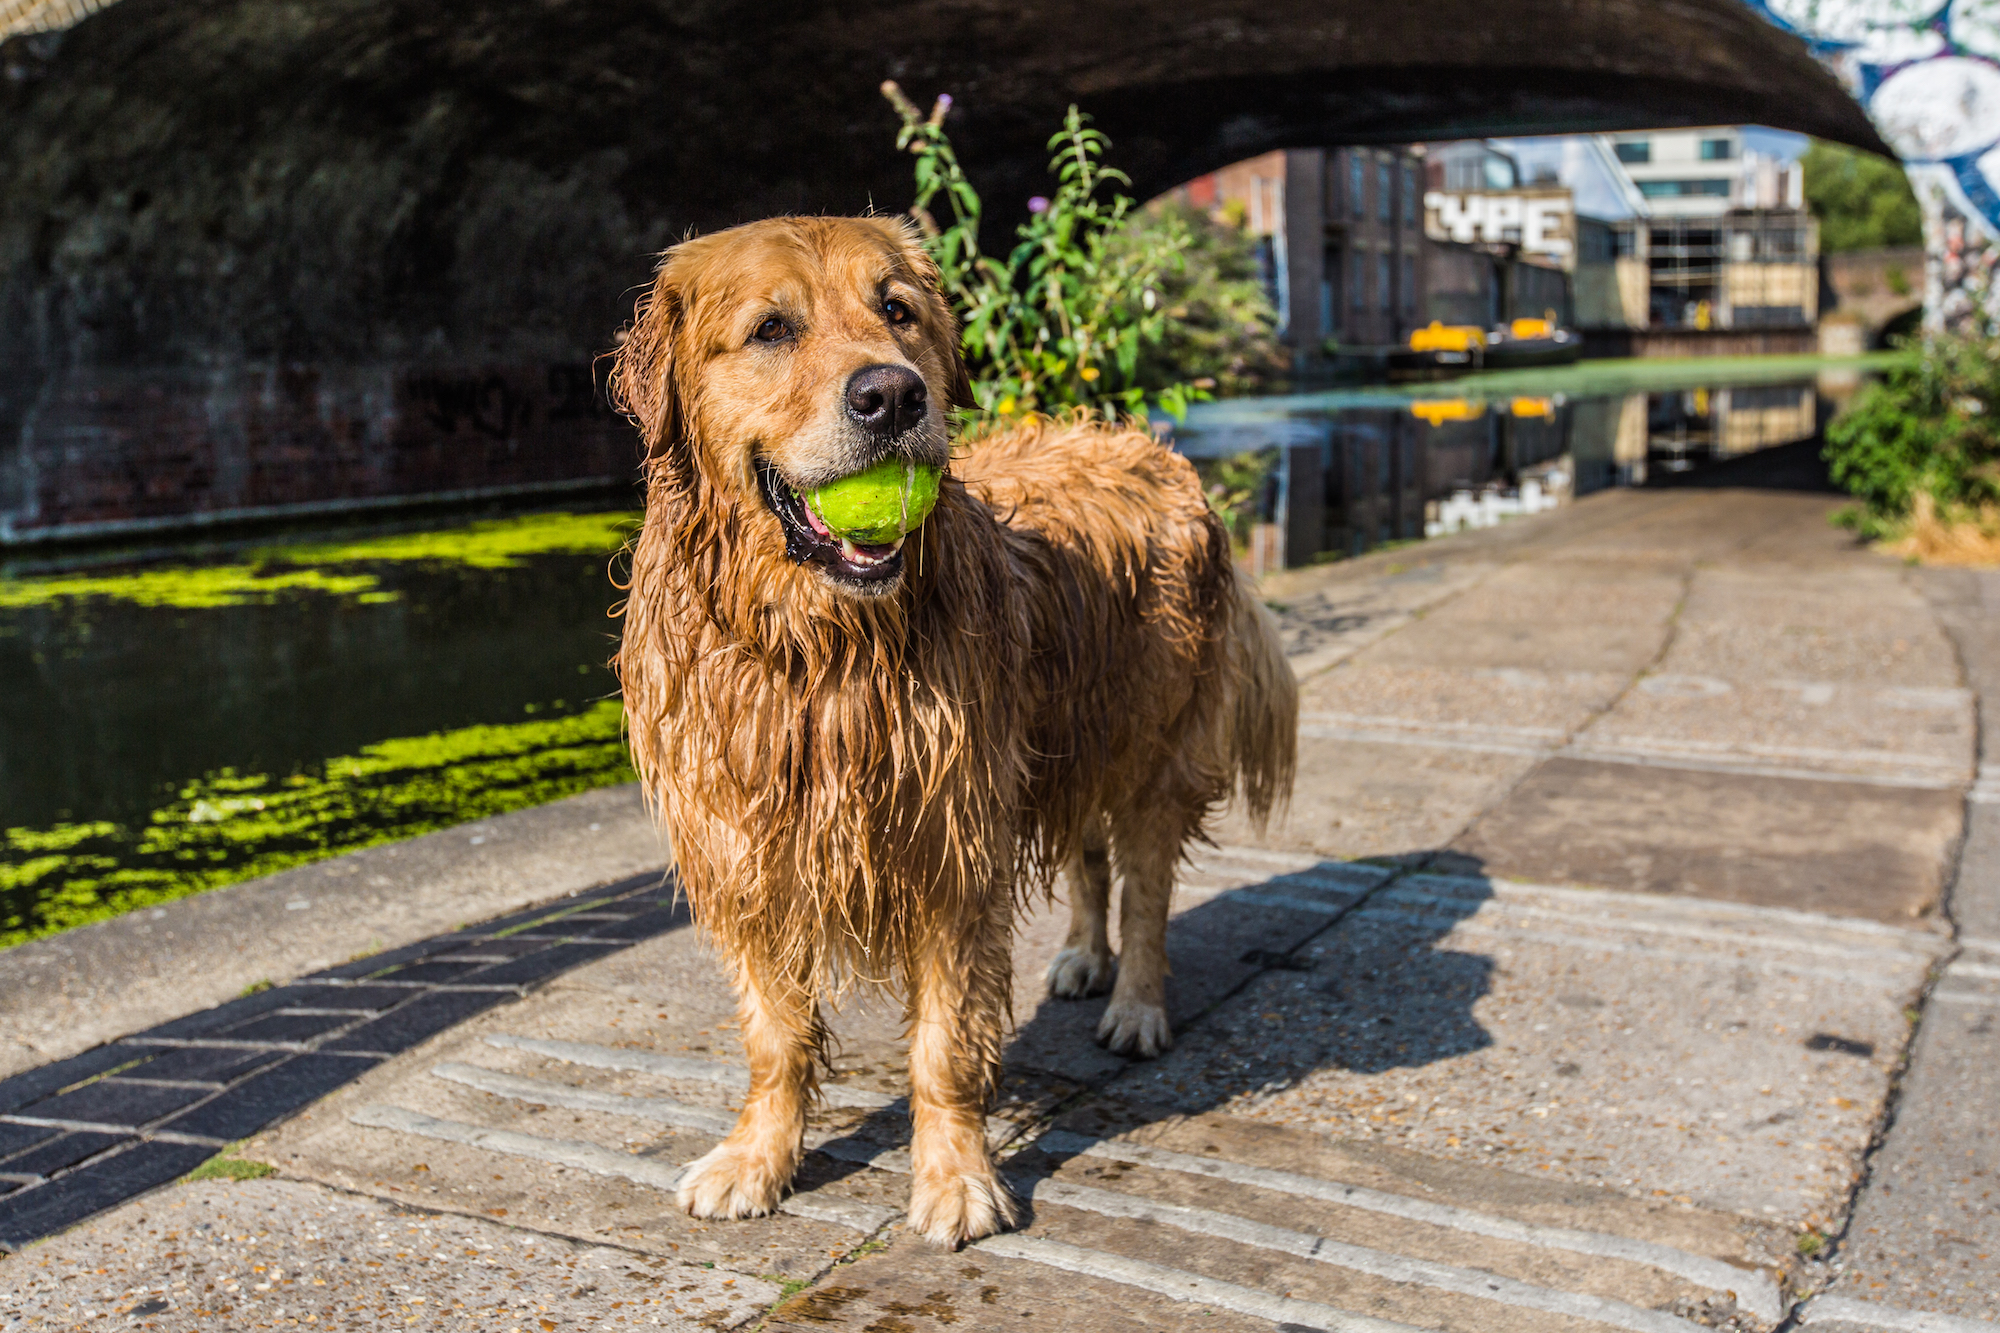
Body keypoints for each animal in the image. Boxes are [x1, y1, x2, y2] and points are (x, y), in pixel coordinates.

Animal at [608, 213, 1296, 1240]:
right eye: (771, 328)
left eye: (897, 310)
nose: (892, 393)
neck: (818, 652)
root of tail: (1155, 450)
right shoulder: (747, 852)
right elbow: (774, 1037)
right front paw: (758, 1159)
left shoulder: (953, 849)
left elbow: (946, 1047)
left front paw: (956, 1179)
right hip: (1061, 738)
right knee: (1089, 852)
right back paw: (1085, 957)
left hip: (1149, 741)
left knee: (1144, 882)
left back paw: (1136, 1002)